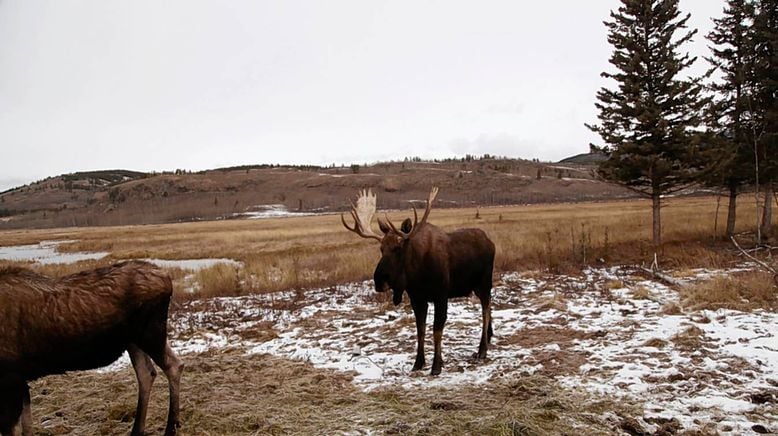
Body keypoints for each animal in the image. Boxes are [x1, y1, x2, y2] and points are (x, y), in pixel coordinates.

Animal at [0, 260, 183, 436]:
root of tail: (167, 278)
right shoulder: (20, 379)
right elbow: (27, 426)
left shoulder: (11, 379)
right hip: (134, 341)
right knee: (147, 374)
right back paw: (137, 430)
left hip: (150, 333)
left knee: (174, 366)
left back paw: (170, 429)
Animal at [342, 187, 494, 374]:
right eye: (381, 248)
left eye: (398, 248)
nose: (379, 280)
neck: (417, 275)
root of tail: (491, 242)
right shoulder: (417, 299)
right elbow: (420, 330)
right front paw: (418, 363)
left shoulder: (441, 296)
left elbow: (437, 330)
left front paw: (436, 365)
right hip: (477, 287)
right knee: (489, 306)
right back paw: (489, 336)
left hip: (485, 282)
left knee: (485, 310)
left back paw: (482, 349)